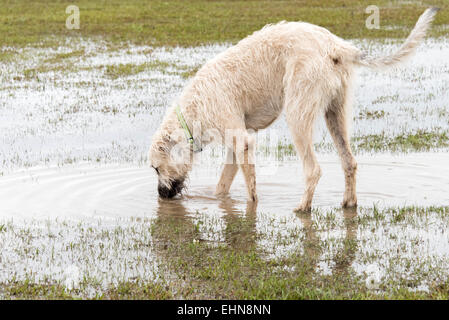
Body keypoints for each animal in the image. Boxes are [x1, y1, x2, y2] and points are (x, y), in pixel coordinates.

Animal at [149, 7, 436, 211]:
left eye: (155, 169)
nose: (161, 196)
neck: (193, 109)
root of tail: (335, 45)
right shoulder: (237, 144)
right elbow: (223, 183)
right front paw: (220, 201)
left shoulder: (241, 140)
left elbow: (251, 191)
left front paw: (251, 209)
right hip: (336, 112)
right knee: (349, 162)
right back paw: (348, 203)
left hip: (298, 113)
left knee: (313, 169)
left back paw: (302, 207)